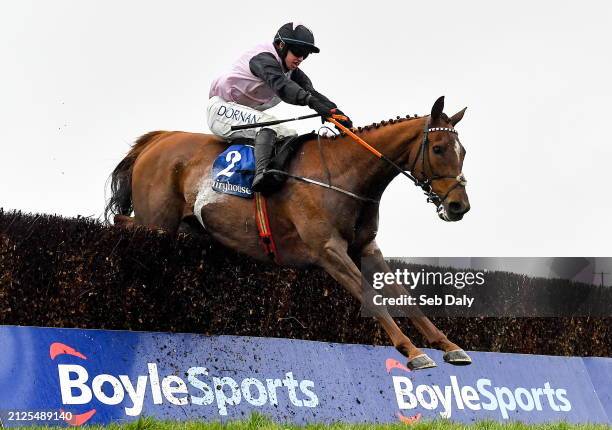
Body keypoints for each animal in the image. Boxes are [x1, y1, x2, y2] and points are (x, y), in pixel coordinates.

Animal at [105, 95, 470, 370]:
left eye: (463, 151)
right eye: (438, 148)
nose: (458, 206)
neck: (345, 174)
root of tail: (160, 138)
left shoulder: (367, 248)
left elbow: (403, 296)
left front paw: (448, 345)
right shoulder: (329, 251)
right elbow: (369, 295)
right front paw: (413, 351)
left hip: (184, 227)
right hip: (157, 222)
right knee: (123, 223)